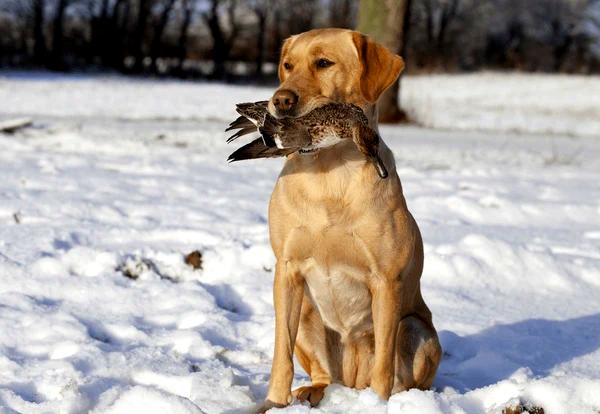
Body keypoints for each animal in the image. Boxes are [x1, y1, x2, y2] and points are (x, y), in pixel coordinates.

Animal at [258, 28, 440, 410]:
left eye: (324, 63)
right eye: (287, 65)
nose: (280, 100)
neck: (329, 173)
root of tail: (353, 382)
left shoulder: (386, 281)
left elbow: (384, 364)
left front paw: (378, 407)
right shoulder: (287, 270)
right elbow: (281, 354)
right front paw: (275, 404)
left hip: (416, 329)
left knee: (400, 377)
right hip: (309, 315)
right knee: (324, 374)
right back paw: (313, 391)